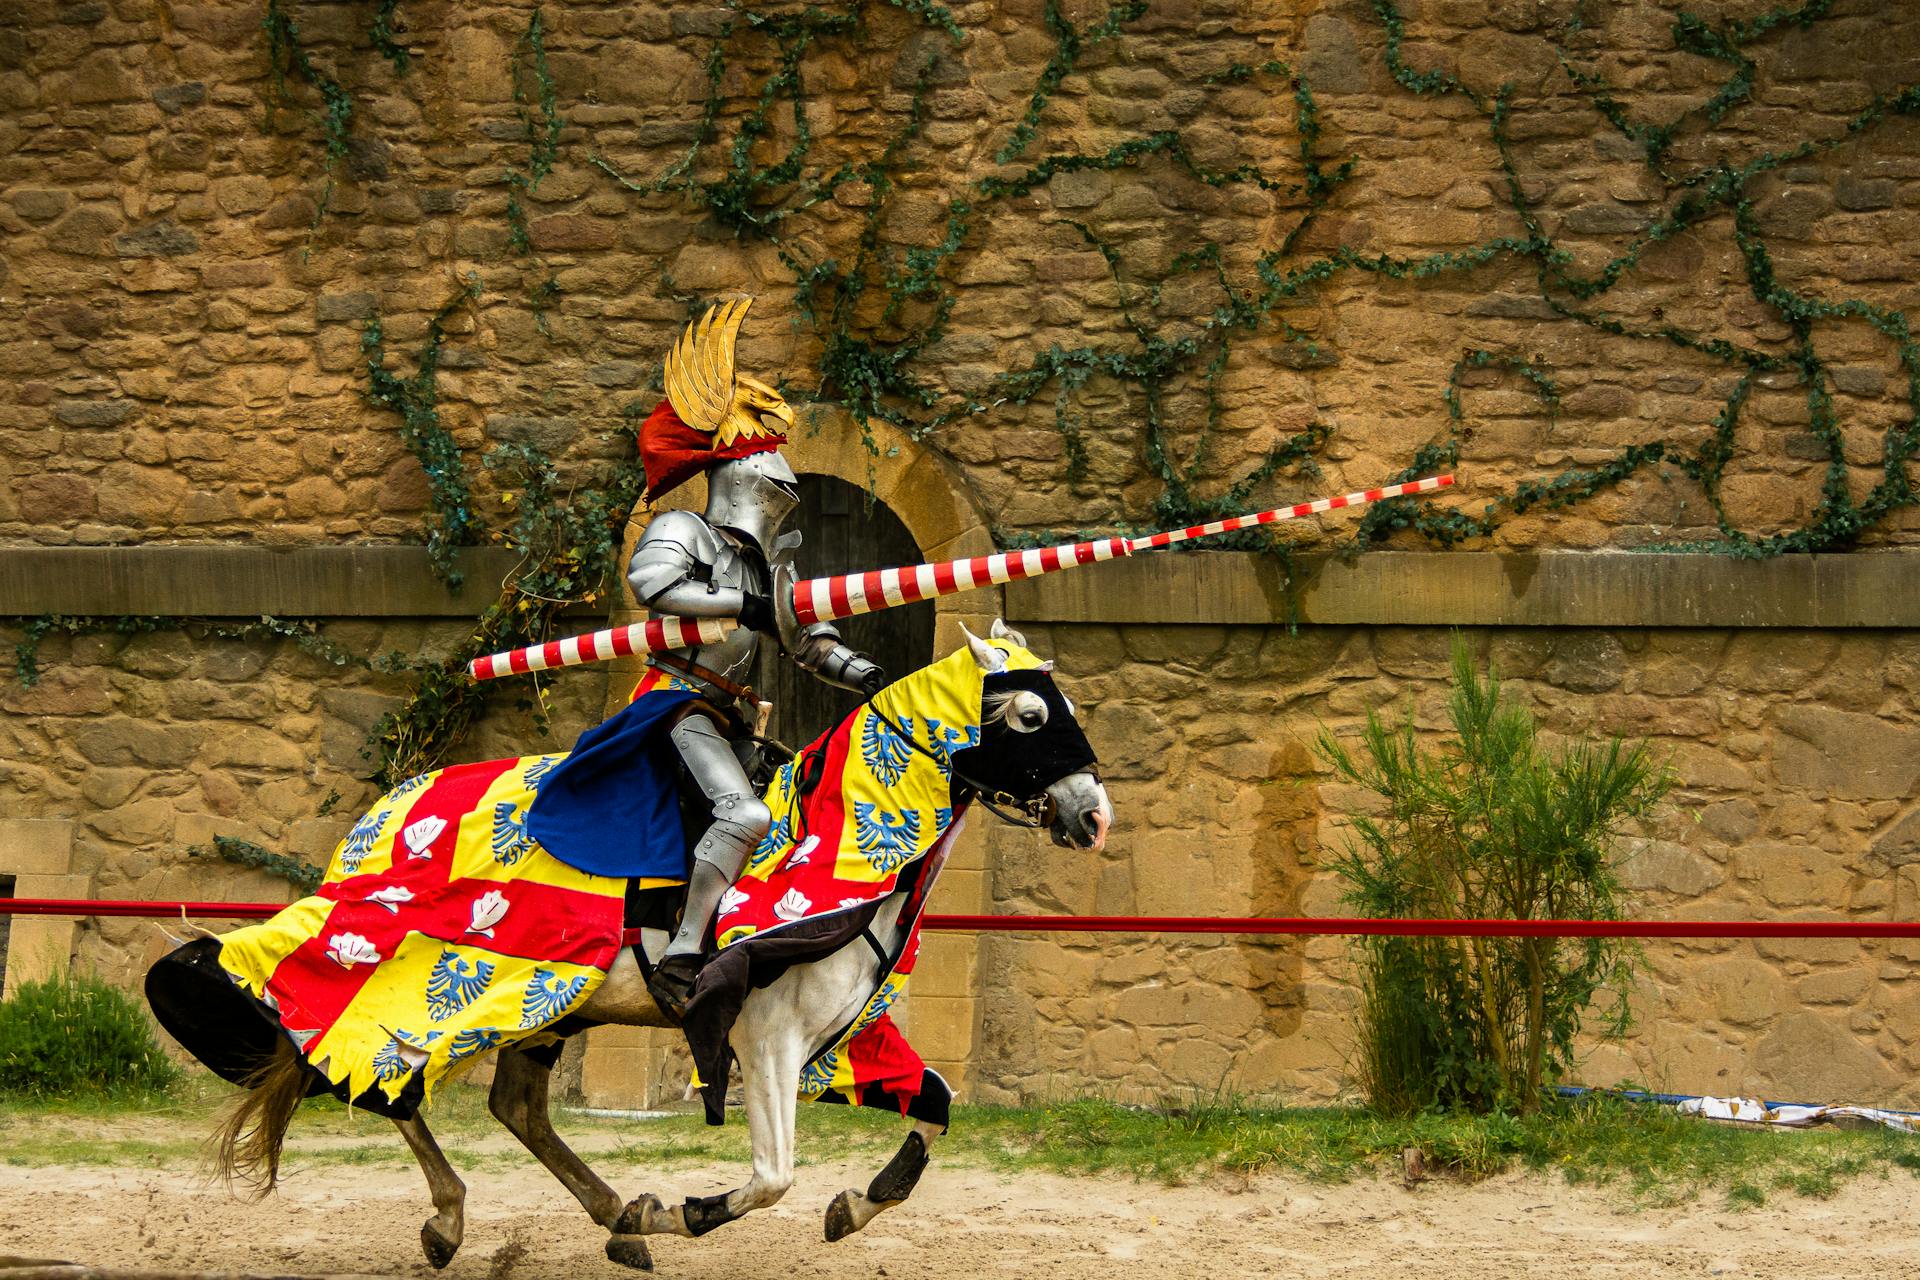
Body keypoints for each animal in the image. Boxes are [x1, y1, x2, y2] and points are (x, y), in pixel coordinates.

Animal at [145, 621, 1113, 1274]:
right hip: (437, 980)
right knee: (373, 1072)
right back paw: (453, 1219)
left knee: (513, 1108)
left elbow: (933, 1107)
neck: (832, 837)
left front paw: (854, 1205)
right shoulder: (764, 1039)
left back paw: (613, 1215)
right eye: (1032, 716)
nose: (1092, 815)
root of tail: (385, 817)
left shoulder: (846, 1040)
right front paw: (685, 1212)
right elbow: (773, 1176)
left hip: (546, 1007)